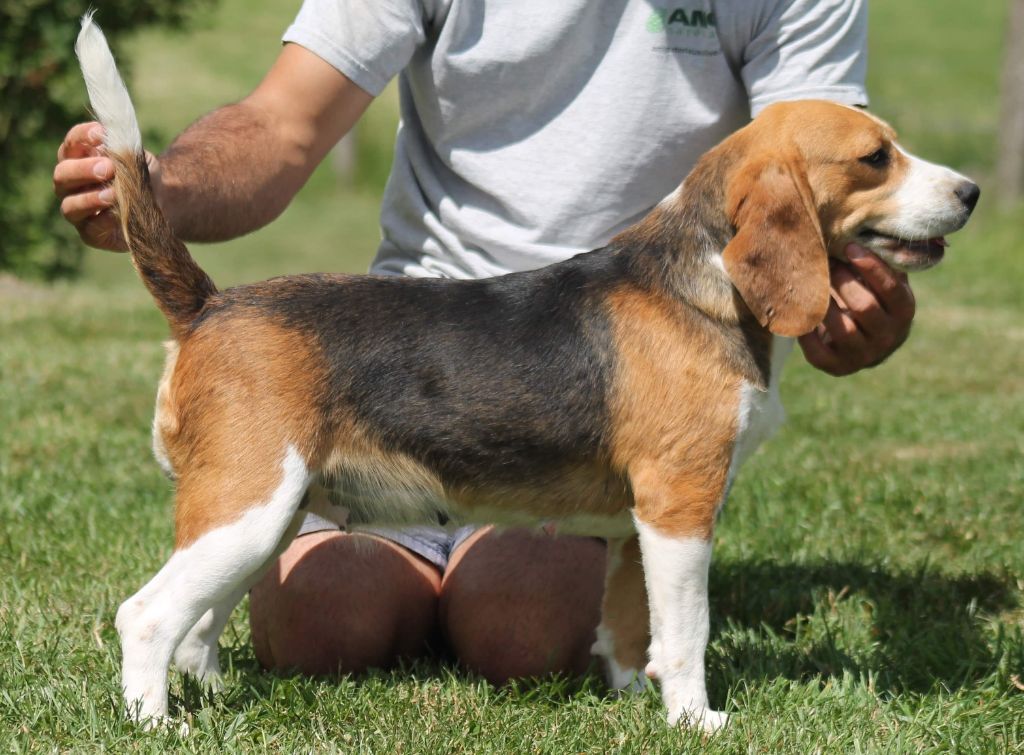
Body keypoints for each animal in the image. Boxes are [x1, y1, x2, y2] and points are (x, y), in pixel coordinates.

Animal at [77, 14, 974, 729]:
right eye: (875, 158)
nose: (968, 191)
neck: (705, 274)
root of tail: (209, 304)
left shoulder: (637, 526)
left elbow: (631, 626)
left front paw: (635, 701)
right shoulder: (681, 503)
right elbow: (688, 631)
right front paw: (698, 720)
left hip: (266, 516)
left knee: (196, 628)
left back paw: (209, 698)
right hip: (248, 506)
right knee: (147, 616)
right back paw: (157, 722)